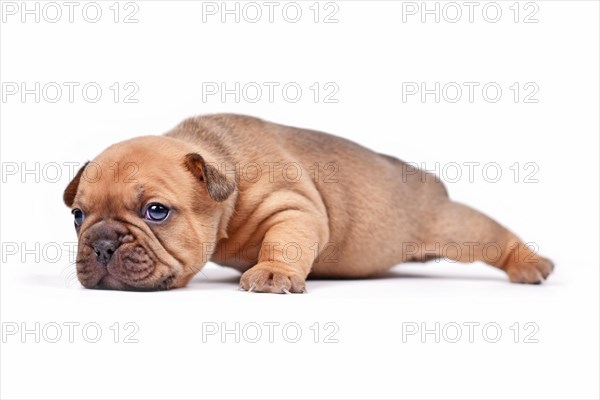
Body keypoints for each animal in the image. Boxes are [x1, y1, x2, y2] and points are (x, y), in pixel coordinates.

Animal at [64, 114, 552, 292]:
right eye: (77, 216)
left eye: (156, 212)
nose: (102, 244)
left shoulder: (292, 209)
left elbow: (284, 243)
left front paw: (273, 273)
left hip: (451, 226)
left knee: (491, 236)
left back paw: (530, 264)